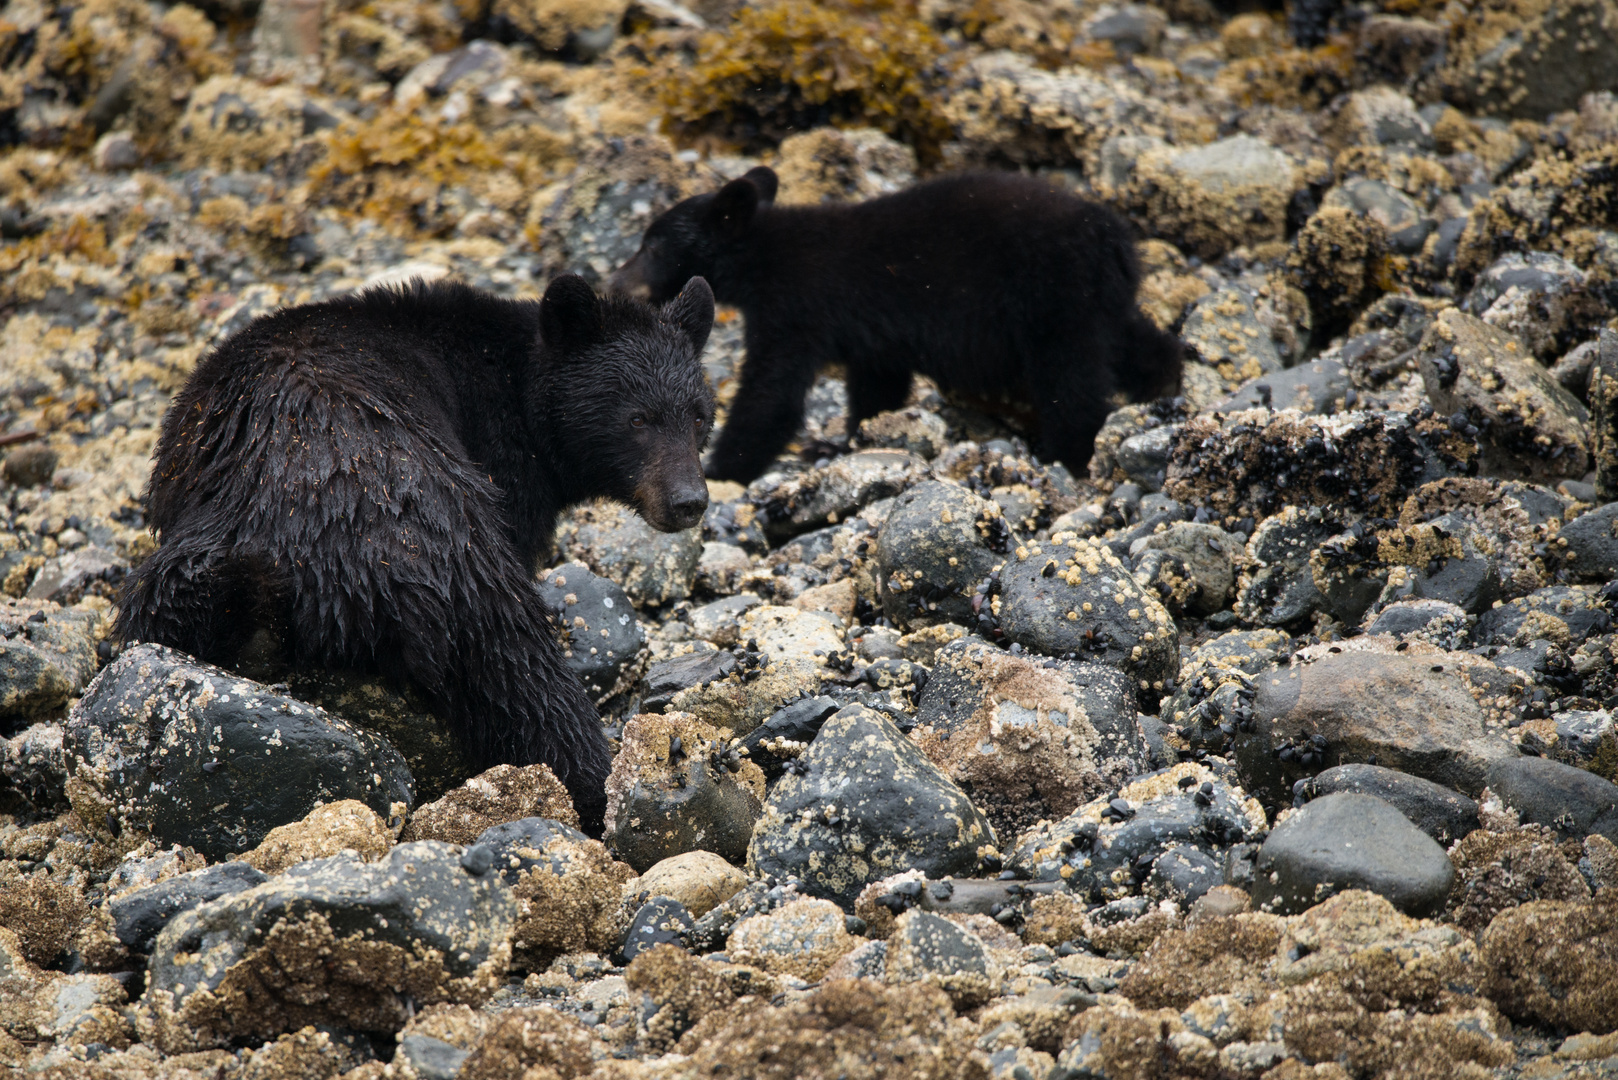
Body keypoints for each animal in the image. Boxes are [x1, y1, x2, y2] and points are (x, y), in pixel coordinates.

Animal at [117, 275, 718, 835]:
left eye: (697, 416)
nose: (688, 501)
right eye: (636, 419)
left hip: (195, 559)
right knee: (522, 668)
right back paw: (599, 784)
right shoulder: (505, 471)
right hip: (457, 549)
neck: (518, 387)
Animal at [611, 170, 1184, 485]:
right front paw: (846, 442)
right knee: (1135, 342)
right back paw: (1165, 385)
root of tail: (1113, 238)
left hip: (1053, 300)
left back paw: (1067, 450)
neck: (764, 256)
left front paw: (726, 467)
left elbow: (772, 393)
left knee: (1071, 377)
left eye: (652, 244)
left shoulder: (798, 306)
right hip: (1099, 301)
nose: (617, 278)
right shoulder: (873, 334)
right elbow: (878, 386)